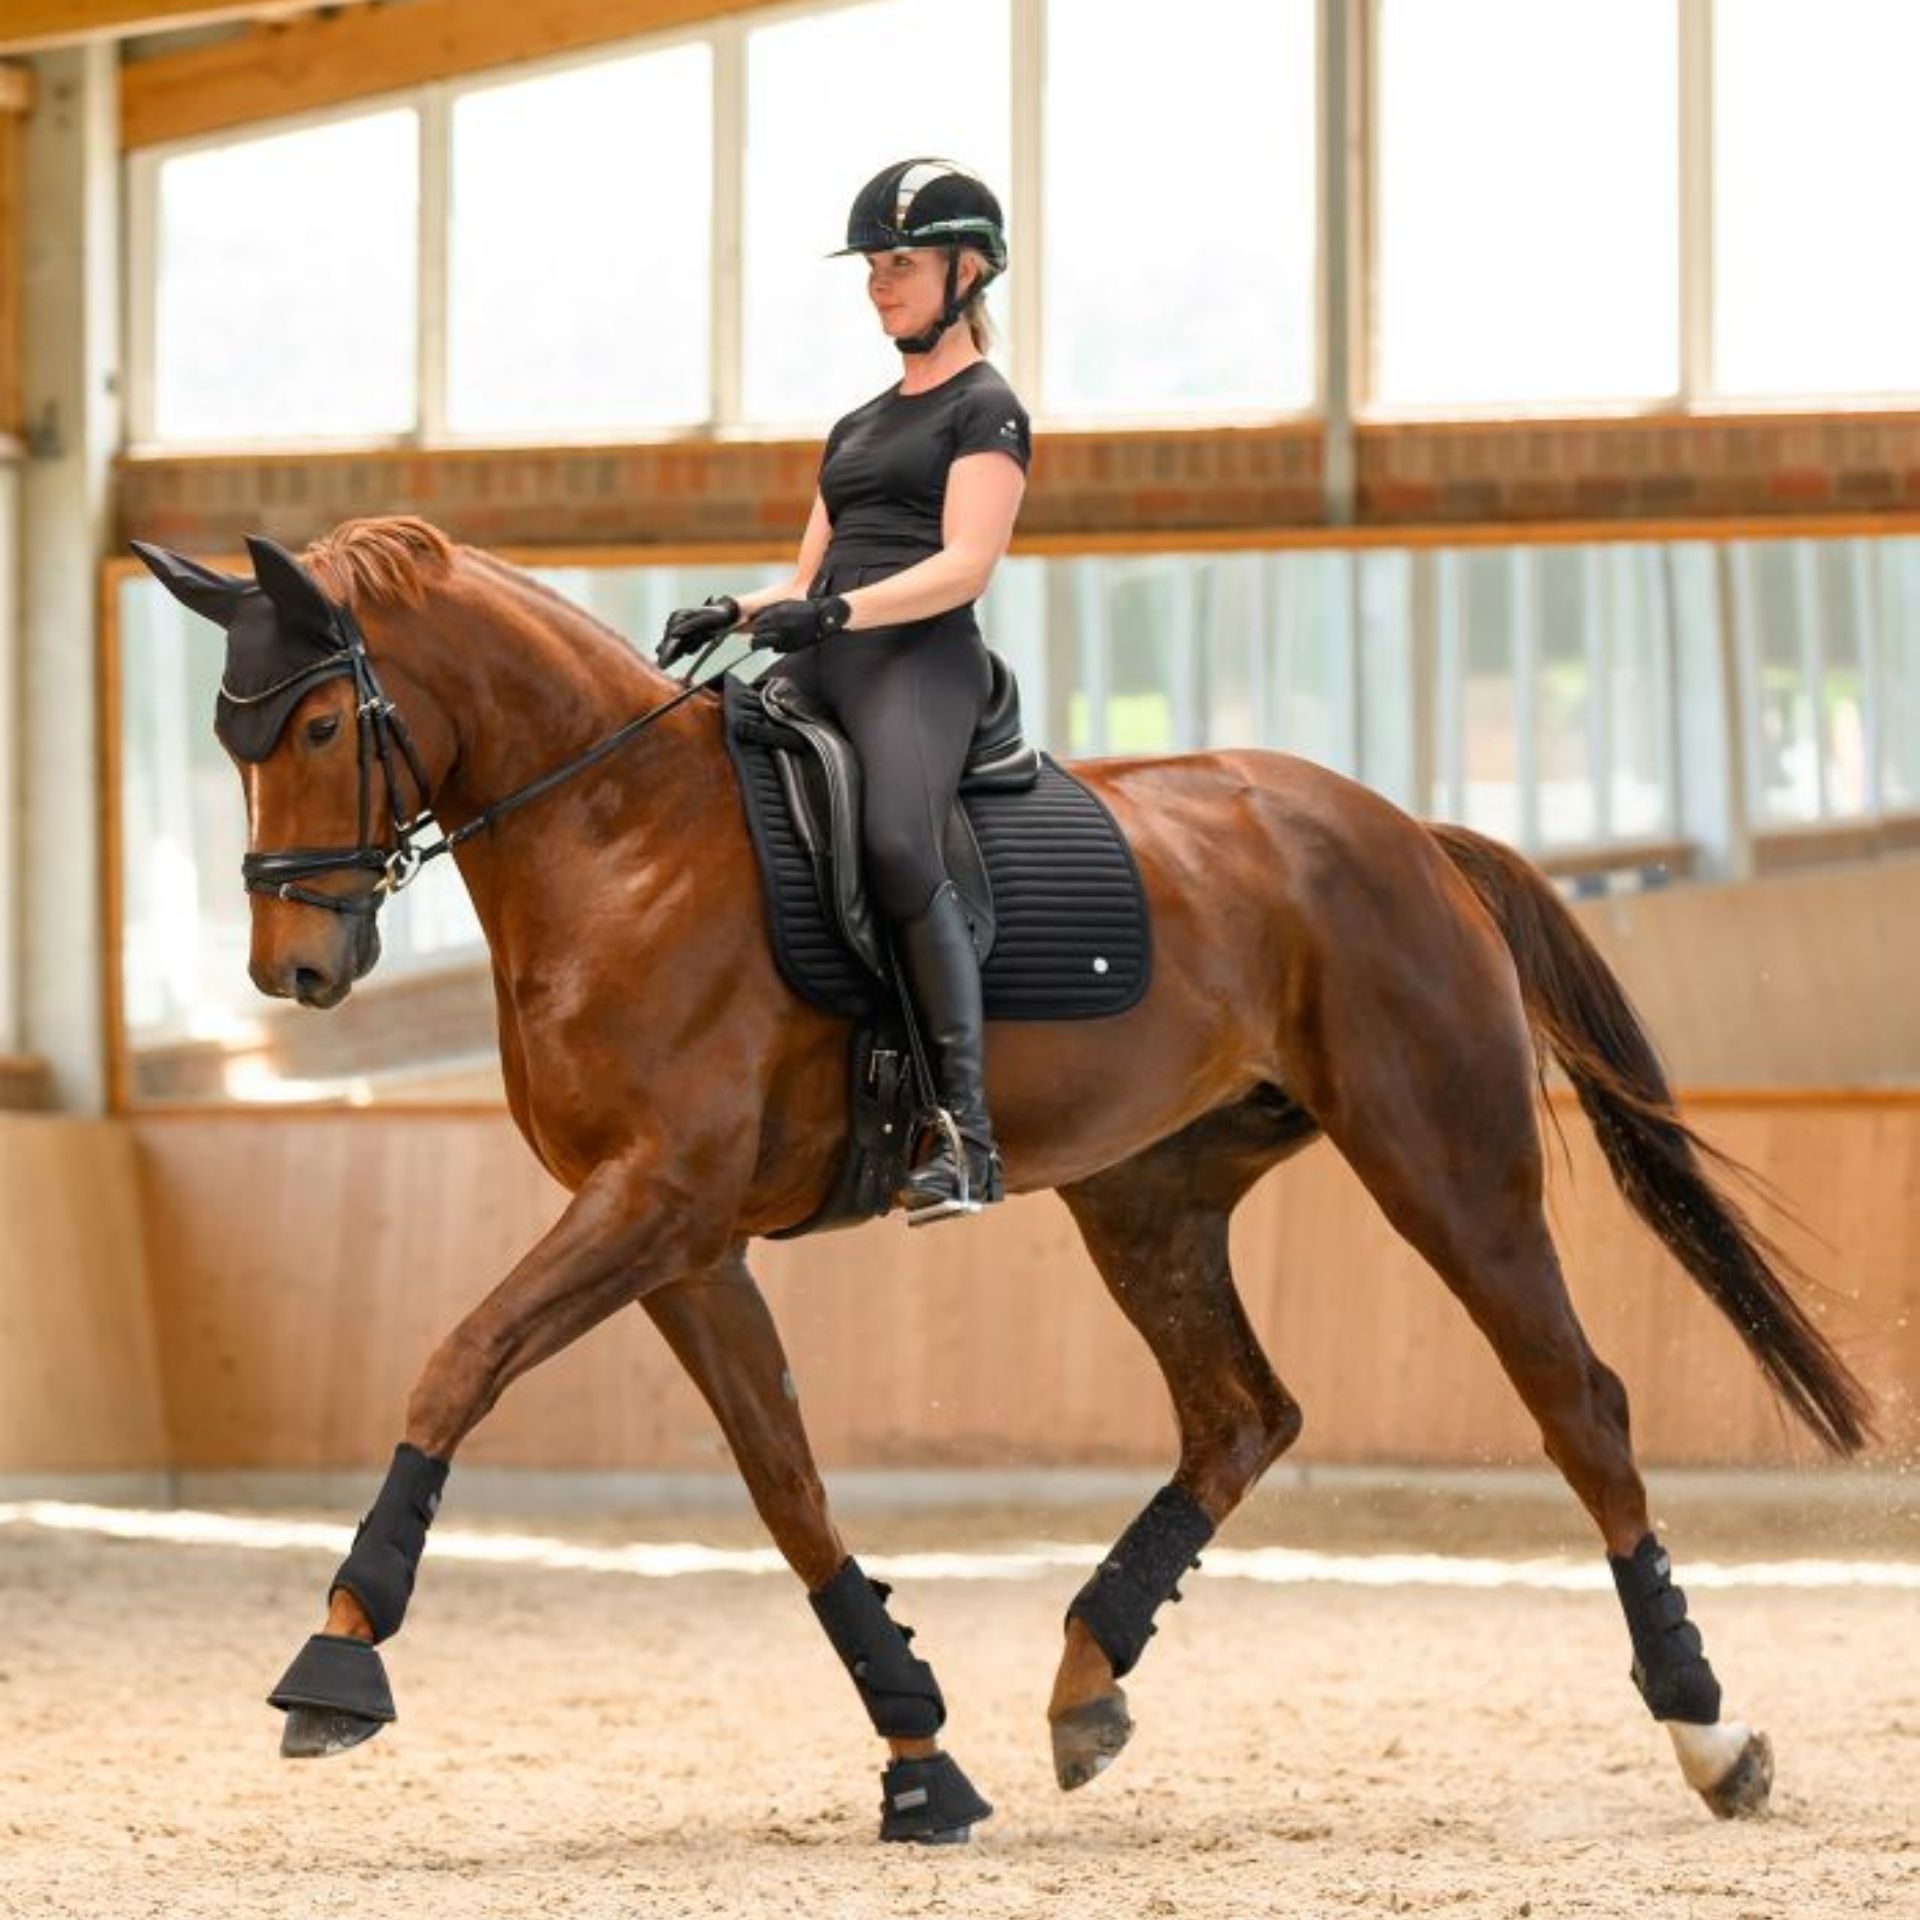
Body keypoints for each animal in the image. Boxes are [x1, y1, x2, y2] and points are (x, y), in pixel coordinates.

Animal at [131, 515, 1872, 1843]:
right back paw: (1089, 1679)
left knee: (1578, 1403)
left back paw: (1712, 1735)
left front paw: (337, 1659)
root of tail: (1409, 832)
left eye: (321, 727)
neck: (619, 840)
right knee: (1243, 1413)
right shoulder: (682, 1243)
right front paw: (921, 1756)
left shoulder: (656, 1203)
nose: (293, 970)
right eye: (227, 738)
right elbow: (788, 1489)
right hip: (1150, 1195)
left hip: (1445, 1159)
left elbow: (459, 1362)